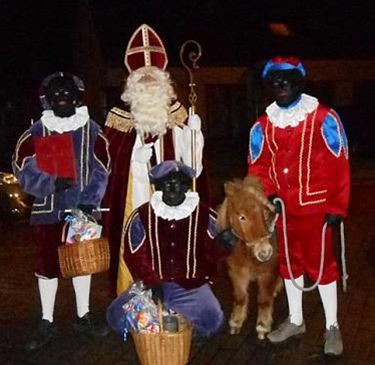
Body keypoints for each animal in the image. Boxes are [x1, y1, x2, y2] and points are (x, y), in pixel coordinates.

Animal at [217, 173, 282, 338]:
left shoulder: (268, 273)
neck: (248, 254)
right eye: (242, 217)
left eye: (264, 212)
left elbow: (264, 300)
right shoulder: (236, 273)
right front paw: (236, 322)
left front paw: (262, 326)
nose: (265, 252)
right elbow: (240, 298)